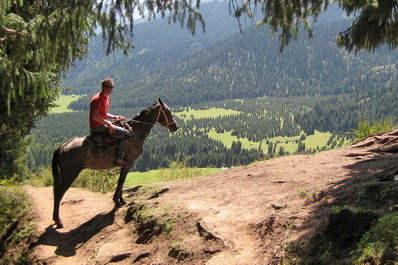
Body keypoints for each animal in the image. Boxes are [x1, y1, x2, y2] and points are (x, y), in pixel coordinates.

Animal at [51, 99, 179, 227]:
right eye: (167, 111)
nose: (176, 126)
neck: (135, 133)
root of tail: (62, 147)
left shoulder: (125, 165)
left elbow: (121, 182)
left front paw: (119, 200)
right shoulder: (129, 163)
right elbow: (121, 181)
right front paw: (118, 201)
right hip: (70, 175)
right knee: (59, 193)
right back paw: (58, 221)